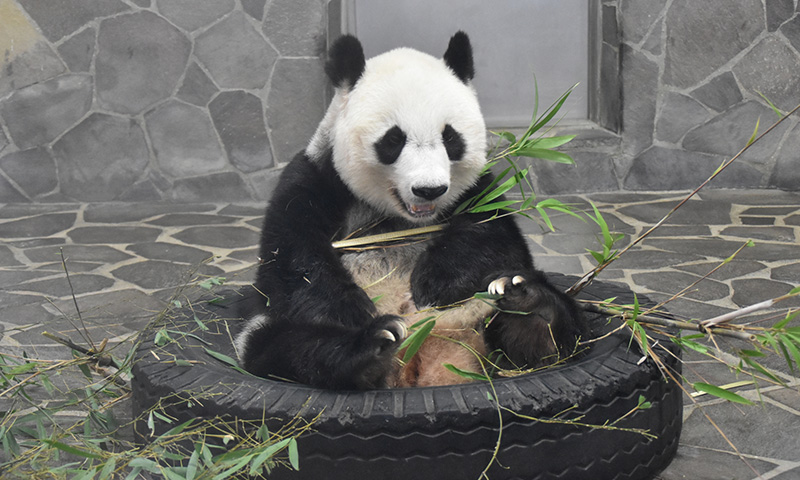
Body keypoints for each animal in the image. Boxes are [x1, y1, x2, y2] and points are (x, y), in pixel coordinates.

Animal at [234, 30, 584, 390]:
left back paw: (528, 302)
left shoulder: (479, 191)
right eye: (393, 140)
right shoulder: (315, 180)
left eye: (450, 138)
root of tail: (427, 354)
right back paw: (372, 347)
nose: (429, 189)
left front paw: (436, 282)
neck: (399, 215)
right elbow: (291, 259)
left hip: (483, 314)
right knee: (285, 346)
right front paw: (352, 309)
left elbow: (493, 237)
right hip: (271, 332)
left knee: (553, 333)